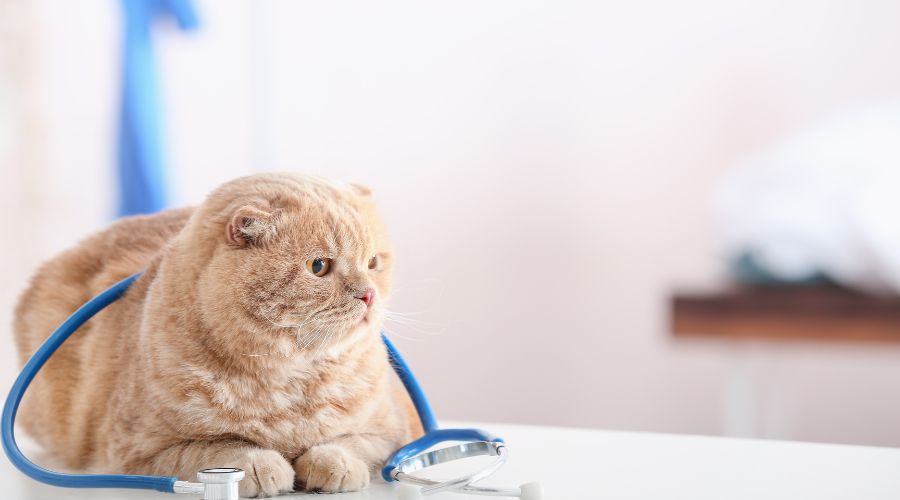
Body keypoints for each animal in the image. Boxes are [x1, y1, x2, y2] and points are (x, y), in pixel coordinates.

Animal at [13, 172, 422, 496]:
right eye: (318, 266)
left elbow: (353, 444)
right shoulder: (139, 452)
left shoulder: (394, 431)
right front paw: (260, 465)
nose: (368, 295)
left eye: (373, 262)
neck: (289, 381)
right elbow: (215, 449)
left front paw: (333, 462)